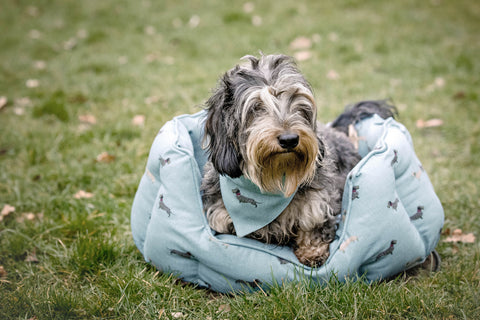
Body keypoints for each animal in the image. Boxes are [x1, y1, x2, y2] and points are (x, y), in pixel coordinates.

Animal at [199, 53, 394, 266]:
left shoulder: (317, 205)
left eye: (298, 104)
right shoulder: (220, 216)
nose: (289, 139)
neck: (275, 177)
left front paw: (312, 253)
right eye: (256, 107)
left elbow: (312, 227)